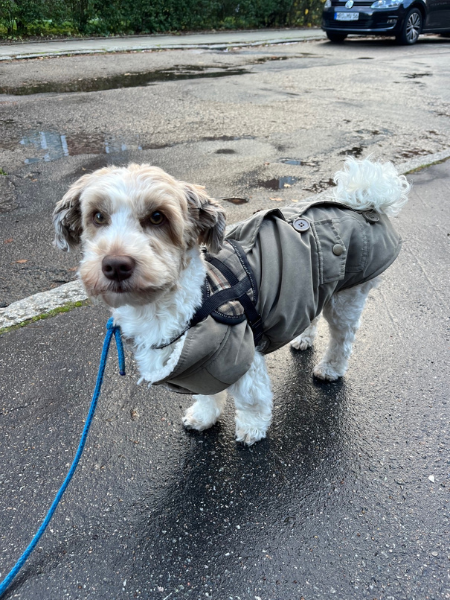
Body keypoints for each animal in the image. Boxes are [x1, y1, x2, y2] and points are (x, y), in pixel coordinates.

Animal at [53, 159, 412, 446]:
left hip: (346, 297)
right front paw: (203, 416)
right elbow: (207, 393)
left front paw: (252, 429)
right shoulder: (203, 361)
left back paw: (331, 368)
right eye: (98, 216)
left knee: (343, 339)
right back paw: (303, 338)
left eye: (157, 217)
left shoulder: (242, 354)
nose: (115, 264)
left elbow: (252, 399)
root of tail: (366, 202)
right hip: (314, 283)